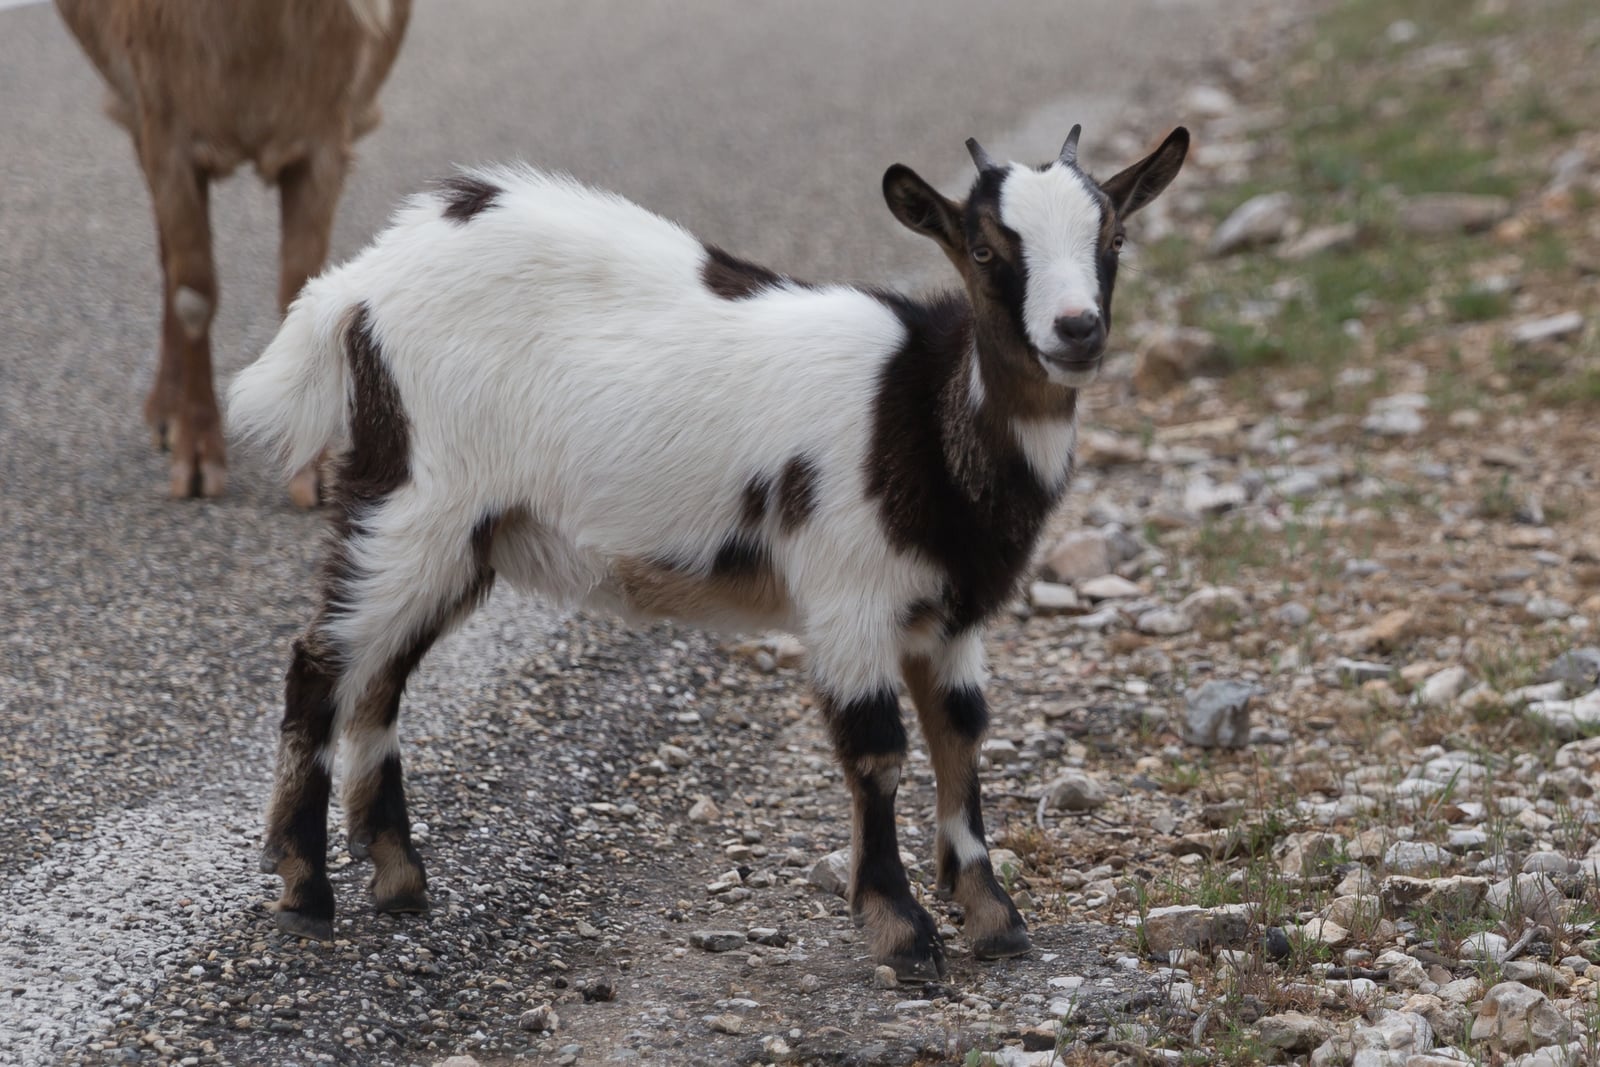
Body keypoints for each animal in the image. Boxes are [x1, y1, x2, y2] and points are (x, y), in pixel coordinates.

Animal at [56, 0, 410, 503]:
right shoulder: (166, 137)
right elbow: (193, 295)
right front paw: (198, 462)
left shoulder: (322, 142)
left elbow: (299, 287)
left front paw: (312, 471)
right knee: (168, 261)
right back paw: (165, 412)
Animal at [228, 125, 1189, 979]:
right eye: (986, 250)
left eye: (1113, 238)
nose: (1076, 329)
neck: (919, 412)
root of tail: (354, 289)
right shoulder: (847, 594)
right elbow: (878, 753)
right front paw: (902, 931)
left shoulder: (949, 615)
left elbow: (962, 736)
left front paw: (992, 916)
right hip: (414, 502)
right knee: (321, 661)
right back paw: (307, 887)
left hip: (460, 536)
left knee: (379, 674)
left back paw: (397, 878)